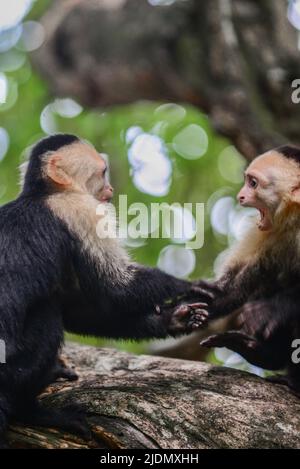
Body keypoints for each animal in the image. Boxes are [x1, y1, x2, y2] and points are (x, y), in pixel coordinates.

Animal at [0, 133, 202, 446]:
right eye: (103, 172)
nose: (110, 188)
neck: (43, 193)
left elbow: (82, 310)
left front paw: (174, 319)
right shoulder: (79, 210)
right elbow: (115, 290)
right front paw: (196, 285)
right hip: (12, 366)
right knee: (48, 314)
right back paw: (31, 410)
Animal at [168, 145, 300, 392]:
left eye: (253, 183)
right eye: (247, 181)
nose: (240, 196)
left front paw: (275, 307)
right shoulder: (270, 232)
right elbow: (231, 290)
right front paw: (180, 312)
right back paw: (261, 353)